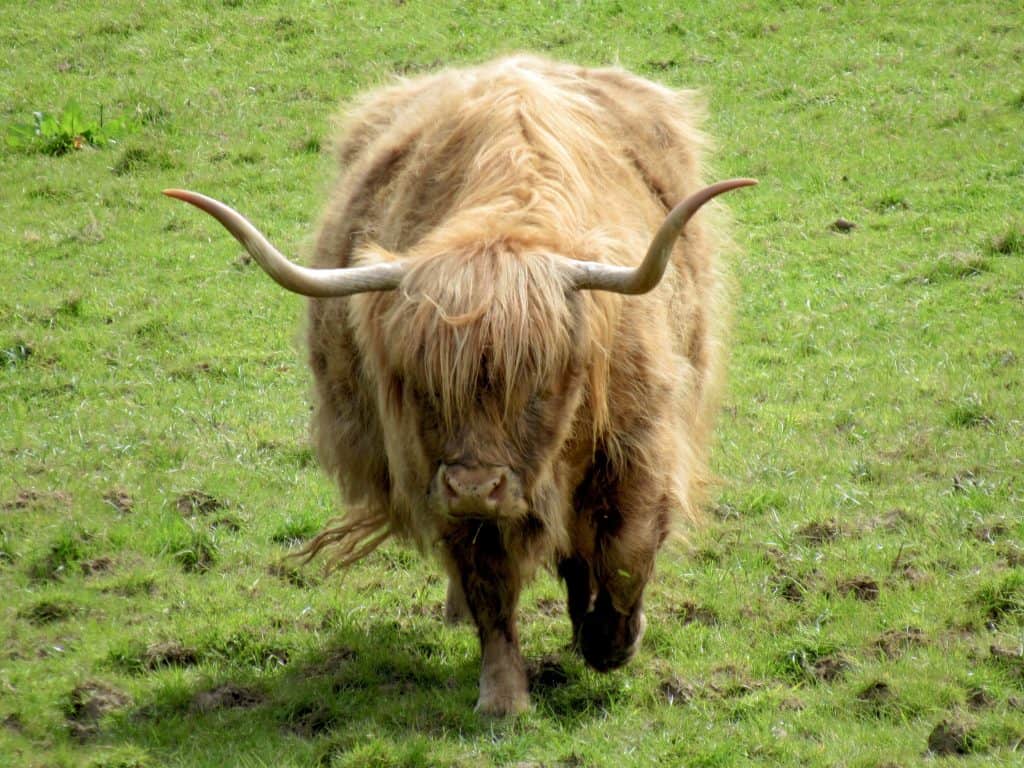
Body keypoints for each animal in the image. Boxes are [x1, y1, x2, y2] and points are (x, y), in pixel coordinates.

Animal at [165, 54, 753, 716]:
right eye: (423, 386)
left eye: (539, 383)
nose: (476, 486)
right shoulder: (432, 470)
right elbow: (488, 585)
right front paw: (503, 698)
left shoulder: (639, 447)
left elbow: (626, 555)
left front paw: (611, 642)